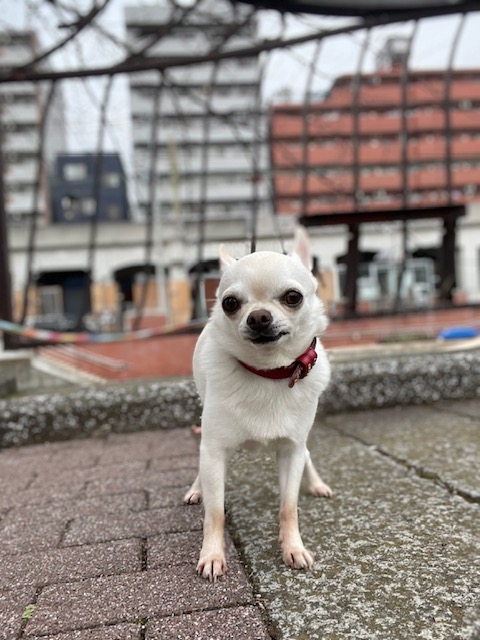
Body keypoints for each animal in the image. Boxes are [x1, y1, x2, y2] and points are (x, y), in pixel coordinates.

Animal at [184, 229, 330, 580]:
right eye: (230, 303)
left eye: (293, 297)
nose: (259, 317)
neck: (268, 373)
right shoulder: (213, 452)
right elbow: (215, 513)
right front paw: (212, 555)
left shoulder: (291, 450)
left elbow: (289, 507)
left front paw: (293, 548)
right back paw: (196, 489)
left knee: (307, 455)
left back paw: (317, 484)